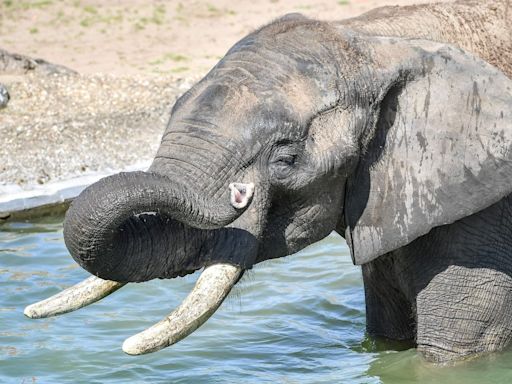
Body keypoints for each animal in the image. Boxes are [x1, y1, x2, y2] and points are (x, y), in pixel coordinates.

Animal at [25, 0, 512, 362]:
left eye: (285, 157)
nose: (239, 195)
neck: (372, 40)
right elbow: (386, 334)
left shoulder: (484, 204)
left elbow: (455, 351)